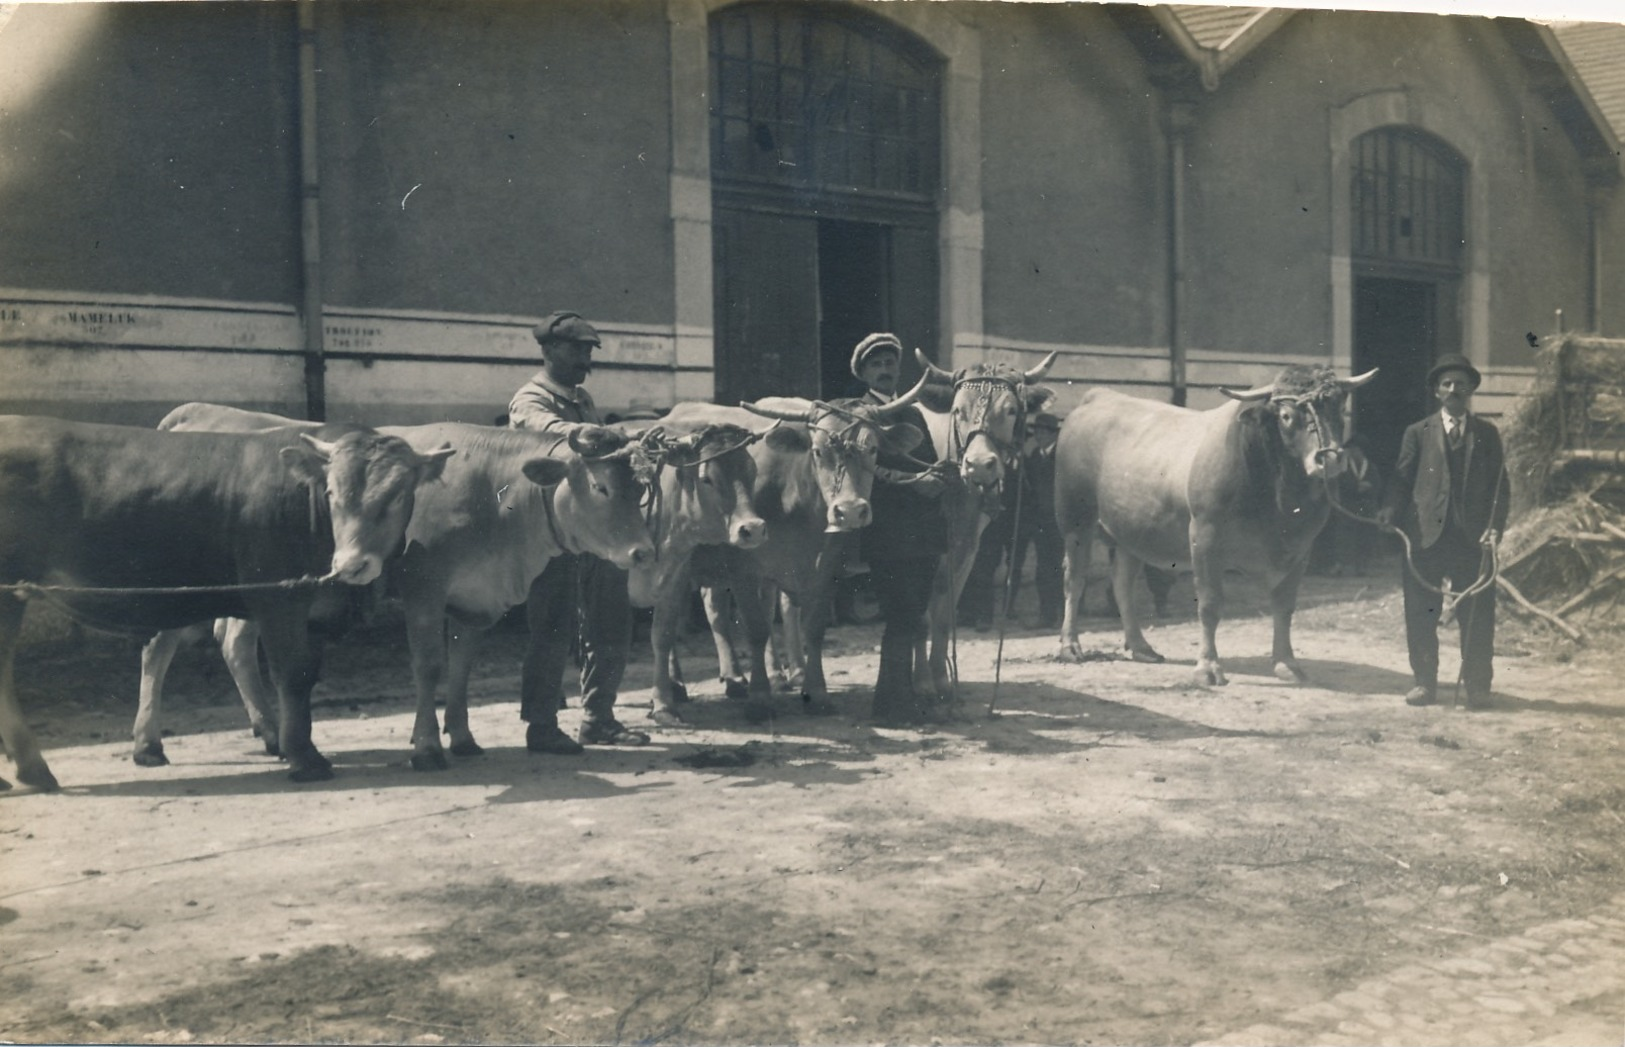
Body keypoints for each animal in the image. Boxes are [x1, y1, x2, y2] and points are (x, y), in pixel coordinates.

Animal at [1059, 365, 1378, 686]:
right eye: (1286, 415)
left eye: (1338, 406)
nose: (1330, 459)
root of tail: (1099, 396)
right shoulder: (1204, 537)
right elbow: (1210, 604)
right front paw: (1208, 667)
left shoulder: (1300, 548)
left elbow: (1284, 606)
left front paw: (1286, 663)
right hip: (1075, 518)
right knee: (1075, 580)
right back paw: (1070, 646)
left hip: (1131, 532)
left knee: (1122, 584)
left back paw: (1140, 647)